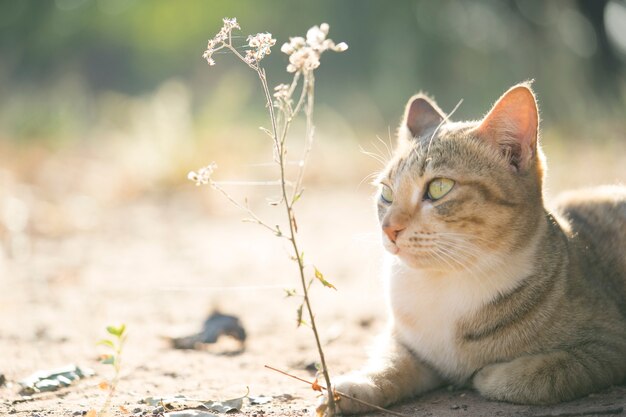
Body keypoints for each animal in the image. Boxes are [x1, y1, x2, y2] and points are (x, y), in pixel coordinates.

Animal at [332, 83, 624, 412]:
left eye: (439, 188)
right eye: (386, 193)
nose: (388, 228)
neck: (445, 283)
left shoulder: (608, 346)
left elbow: (541, 376)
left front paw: (486, 374)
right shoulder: (405, 343)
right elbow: (390, 364)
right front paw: (354, 387)